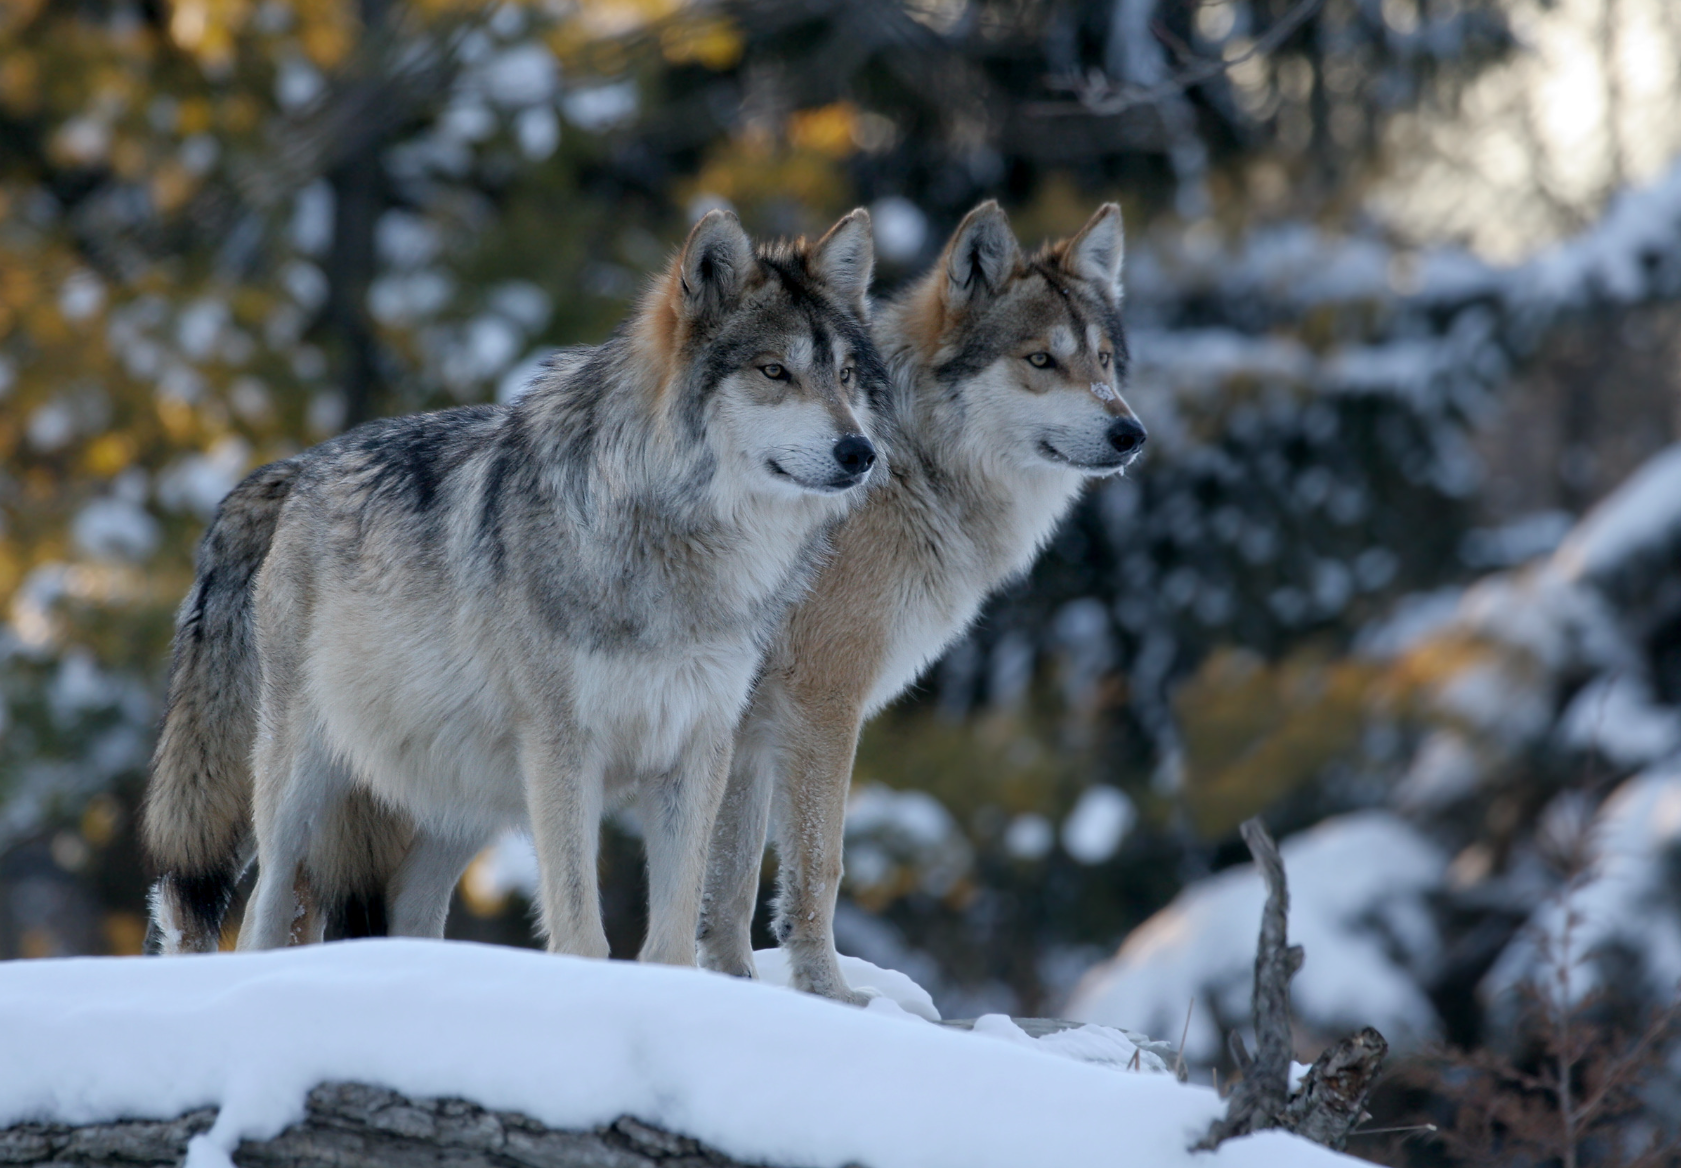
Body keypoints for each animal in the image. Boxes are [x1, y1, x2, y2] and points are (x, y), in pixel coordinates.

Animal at [141, 205, 894, 961]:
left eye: (845, 375)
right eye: (775, 371)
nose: (860, 452)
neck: (678, 546)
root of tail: (297, 468)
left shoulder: (697, 750)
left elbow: (673, 939)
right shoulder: (564, 750)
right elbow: (582, 932)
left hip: (462, 802)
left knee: (408, 912)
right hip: (304, 780)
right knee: (264, 909)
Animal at [692, 203, 1143, 1008]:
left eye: (1103, 362)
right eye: (1040, 360)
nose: (1131, 433)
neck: (914, 467)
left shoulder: (748, 724)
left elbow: (730, 886)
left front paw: (740, 991)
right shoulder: (822, 701)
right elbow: (819, 867)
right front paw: (831, 996)